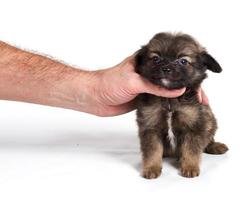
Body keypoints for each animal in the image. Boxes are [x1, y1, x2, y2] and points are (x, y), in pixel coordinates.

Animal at [136, 32, 228, 178]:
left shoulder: (194, 124)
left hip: (211, 121)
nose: (166, 69)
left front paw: (190, 167)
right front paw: (151, 168)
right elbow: (152, 150)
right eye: (155, 58)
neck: (169, 99)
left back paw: (214, 146)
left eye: (183, 61)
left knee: (208, 140)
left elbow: (191, 149)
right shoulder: (150, 125)